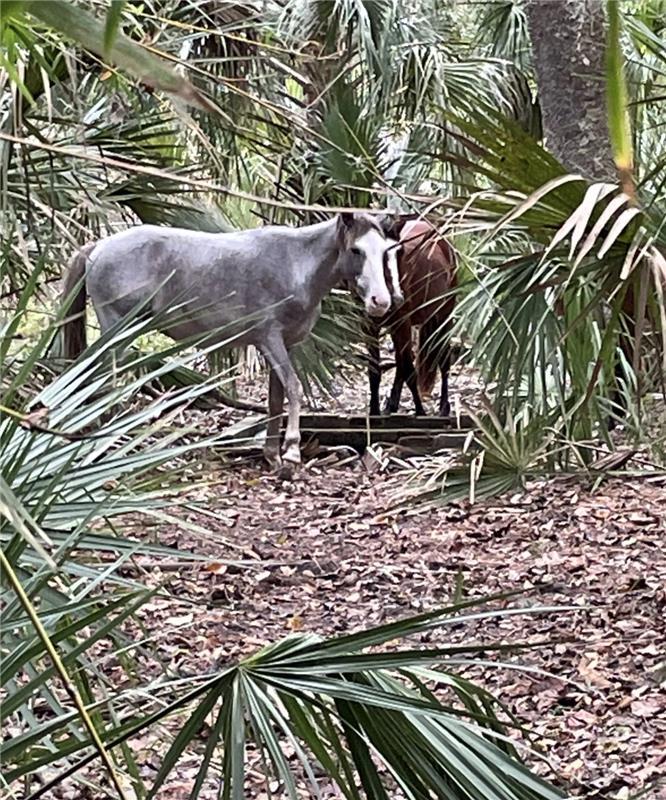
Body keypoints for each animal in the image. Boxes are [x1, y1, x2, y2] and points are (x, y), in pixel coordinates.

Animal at [61, 216, 394, 472]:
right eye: (356, 250)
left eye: (385, 252)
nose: (381, 302)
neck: (293, 262)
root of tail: (99, 246)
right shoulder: (270, 340)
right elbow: (294, 388)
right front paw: (290, 451)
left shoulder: (285, 345)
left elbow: (276, 398)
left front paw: (272, 455)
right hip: (117, 331)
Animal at [368, 219, 456, 418]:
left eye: (398, 253)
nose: (397, 298)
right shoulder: (367, 325)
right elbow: (375, 370)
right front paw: (374, 411)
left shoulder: (402, 322)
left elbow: (409, 368)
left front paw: (420, 411)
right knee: (401, 363)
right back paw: (391, 406)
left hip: (443, 315)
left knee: (443, 359)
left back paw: (444, 407)